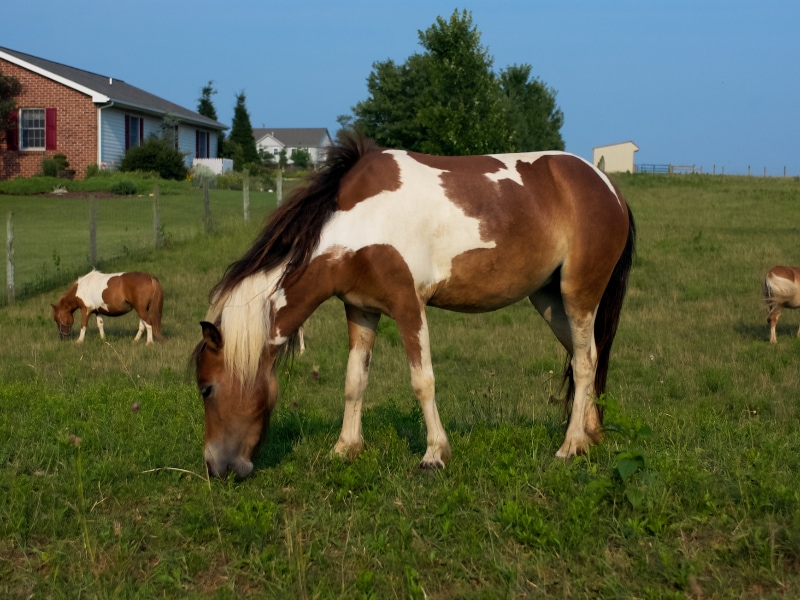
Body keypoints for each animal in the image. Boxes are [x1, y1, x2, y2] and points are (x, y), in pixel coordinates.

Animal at [191, 134, 636, 480]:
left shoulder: (408, 306)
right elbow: (354, 381)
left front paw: (435, 454)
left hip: (579, 293)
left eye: (206, 388)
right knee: (587, 356)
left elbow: (423, 381)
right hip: (548, 299)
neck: (357, 223)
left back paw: (570, 445)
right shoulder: (361, 310)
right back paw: (591, 434)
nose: (217, 468)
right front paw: (345, 448)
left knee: (584, 362)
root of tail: (608, 187)